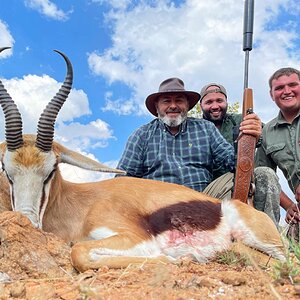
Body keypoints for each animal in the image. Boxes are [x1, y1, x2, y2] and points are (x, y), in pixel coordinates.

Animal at [0, 47, 286, 272]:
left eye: (50, 170)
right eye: (7, 171)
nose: (26, 221)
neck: (81, 205)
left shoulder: (134, 238)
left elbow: (78, 251)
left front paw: (173, 259)